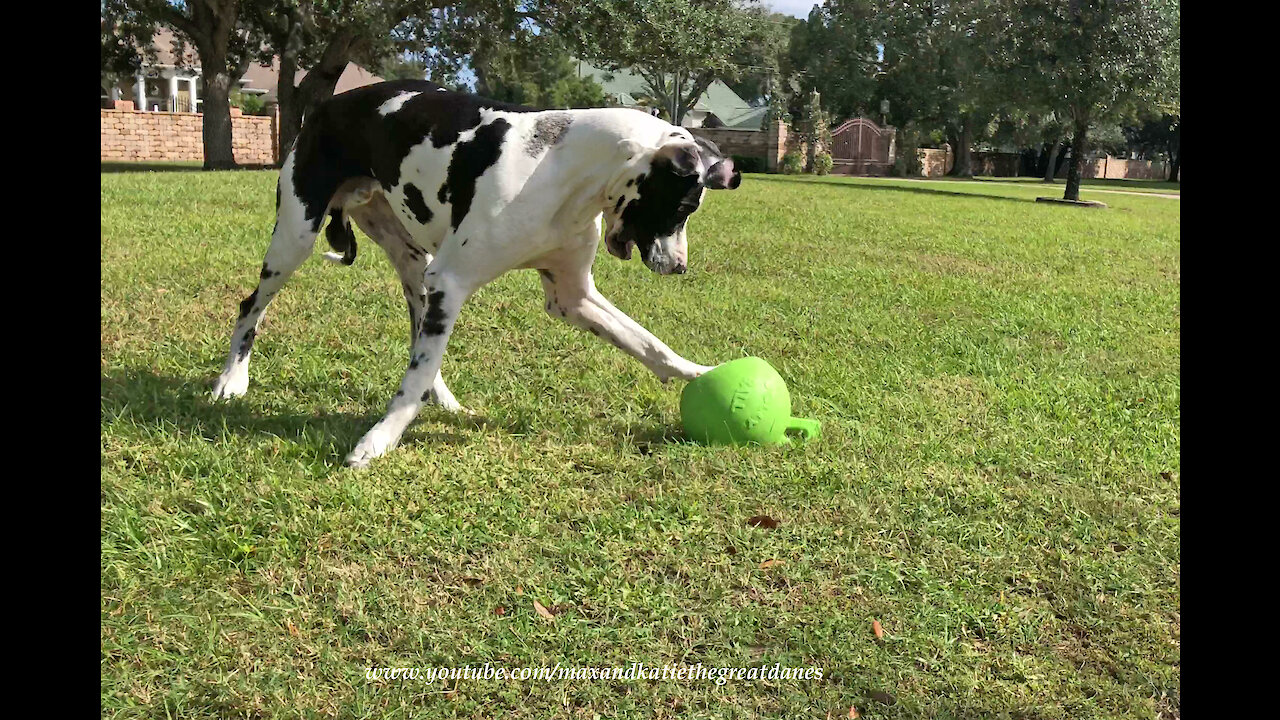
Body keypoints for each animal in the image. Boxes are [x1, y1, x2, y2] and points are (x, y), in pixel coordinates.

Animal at [212, 79, 742, 466]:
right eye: (683, 206)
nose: (680, 267)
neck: (559, 165)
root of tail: (328, 104)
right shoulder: (453, 282)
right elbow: (411, 381)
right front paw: (379, 440)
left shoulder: (572, 297)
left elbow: (650, 344)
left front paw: (703, 373)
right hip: (295, 239)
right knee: (251, 306)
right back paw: (231, 380)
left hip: (414, 266)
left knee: (419, 341)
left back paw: (441, 399)